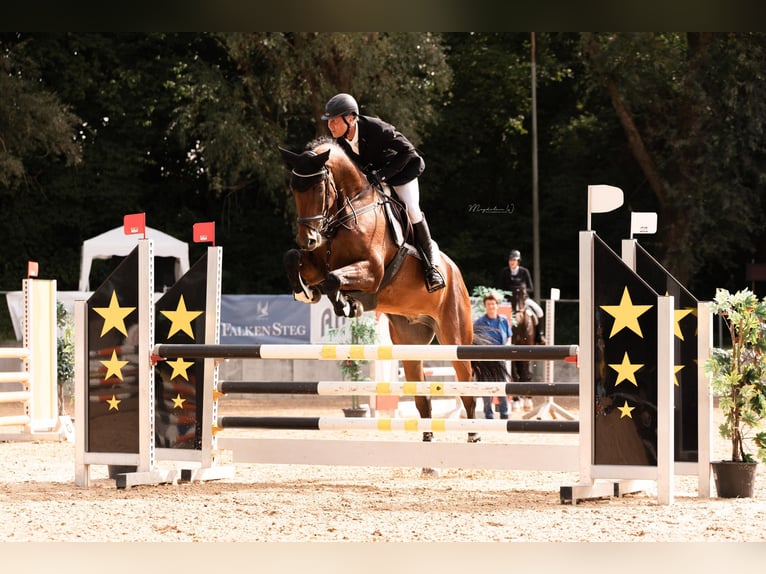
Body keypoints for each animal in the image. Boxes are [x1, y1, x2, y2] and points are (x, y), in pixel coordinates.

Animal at [280, 137, 508, 452]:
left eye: (319, 188)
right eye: (294, 188)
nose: (308, 239)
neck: (350, 211)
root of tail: (456, 273)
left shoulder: (373, 271)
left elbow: (333, 279)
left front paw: (347, 304)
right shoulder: (317, 262)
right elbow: (296, 260)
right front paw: (306, 292)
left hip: (455, 336)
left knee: (466, 383)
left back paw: (473, 433)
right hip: (409, 343)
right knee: (421, 390)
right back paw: (427, 436)